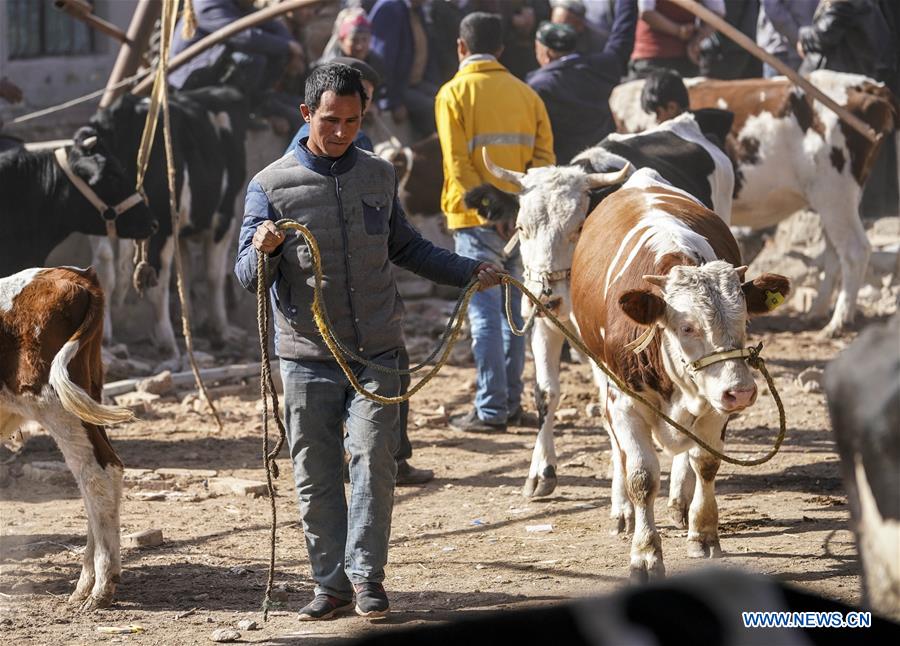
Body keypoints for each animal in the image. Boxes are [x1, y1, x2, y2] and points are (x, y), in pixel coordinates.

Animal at [0, 268, 132, 612]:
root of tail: (78, 276)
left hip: (54, 404)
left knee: (95, 475)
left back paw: (100, 587)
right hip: (86, 396)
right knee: (107, 470)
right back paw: (87, 583)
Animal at [572, 168, 792, 584]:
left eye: (744, 320)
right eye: (687, 326)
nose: (742, 392)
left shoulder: (714, 402)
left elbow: (704, 462)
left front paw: (703, 534)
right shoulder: (625, 402)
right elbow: (641, 477)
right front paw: (644, 554)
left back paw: (680, 500)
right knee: (616, 446)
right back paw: (622, 510)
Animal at [608, 69, 896, 340]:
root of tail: (868, 86)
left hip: (834, 193)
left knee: (854, 250)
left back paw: (838, 321)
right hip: (833, 199)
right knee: (835, 251)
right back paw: (817, 311)